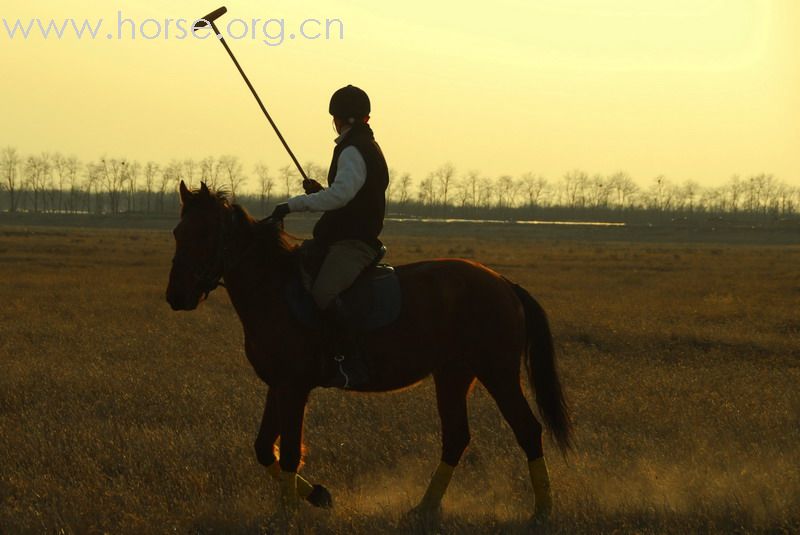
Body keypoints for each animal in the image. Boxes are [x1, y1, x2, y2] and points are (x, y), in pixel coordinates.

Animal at [166, 182, 572, 520]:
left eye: (204, 233)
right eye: (177, 233)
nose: (176, 296)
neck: (274, 287)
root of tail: (502, 282)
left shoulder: (294, 388)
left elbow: (291, 451)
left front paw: (288, 514)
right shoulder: (277, 386)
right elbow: (265, 447)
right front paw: (318, 495)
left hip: (497, 372)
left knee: (527, 429)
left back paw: (542, 511)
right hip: (454, 375)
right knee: (456, 437)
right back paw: (423, 509)